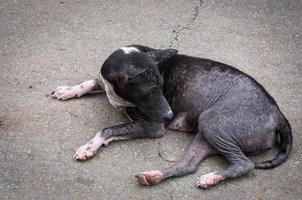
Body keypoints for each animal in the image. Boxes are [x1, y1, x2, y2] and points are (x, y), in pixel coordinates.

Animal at [50, 44, 292, 188]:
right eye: (149, 91)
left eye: (161, 86)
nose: (169, 116)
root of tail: (278, 112)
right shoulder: (108, 85)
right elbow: (92, 81)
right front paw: (68, 90)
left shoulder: (152, 126)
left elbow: (107, 129)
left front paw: (88, 147)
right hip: (206, 133)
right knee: (188, 165)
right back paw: (154, 175)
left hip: (212, 122)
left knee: (245, 164)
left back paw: (211, 177)